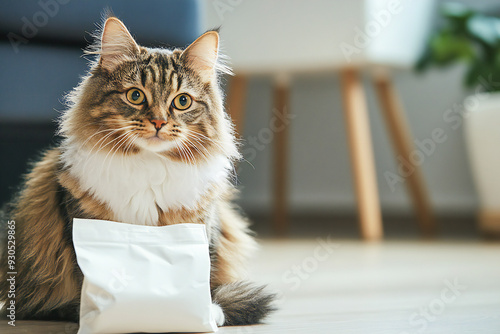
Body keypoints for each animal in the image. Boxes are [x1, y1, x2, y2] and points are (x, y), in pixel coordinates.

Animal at [0, 16, 274, 326]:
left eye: (182, 101)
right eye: (135, 96)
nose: (159, 122)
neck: (149, 167)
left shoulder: (202, 226)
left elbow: (203, 276)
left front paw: (199, 312)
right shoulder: (83, 225)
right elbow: (89, 281)